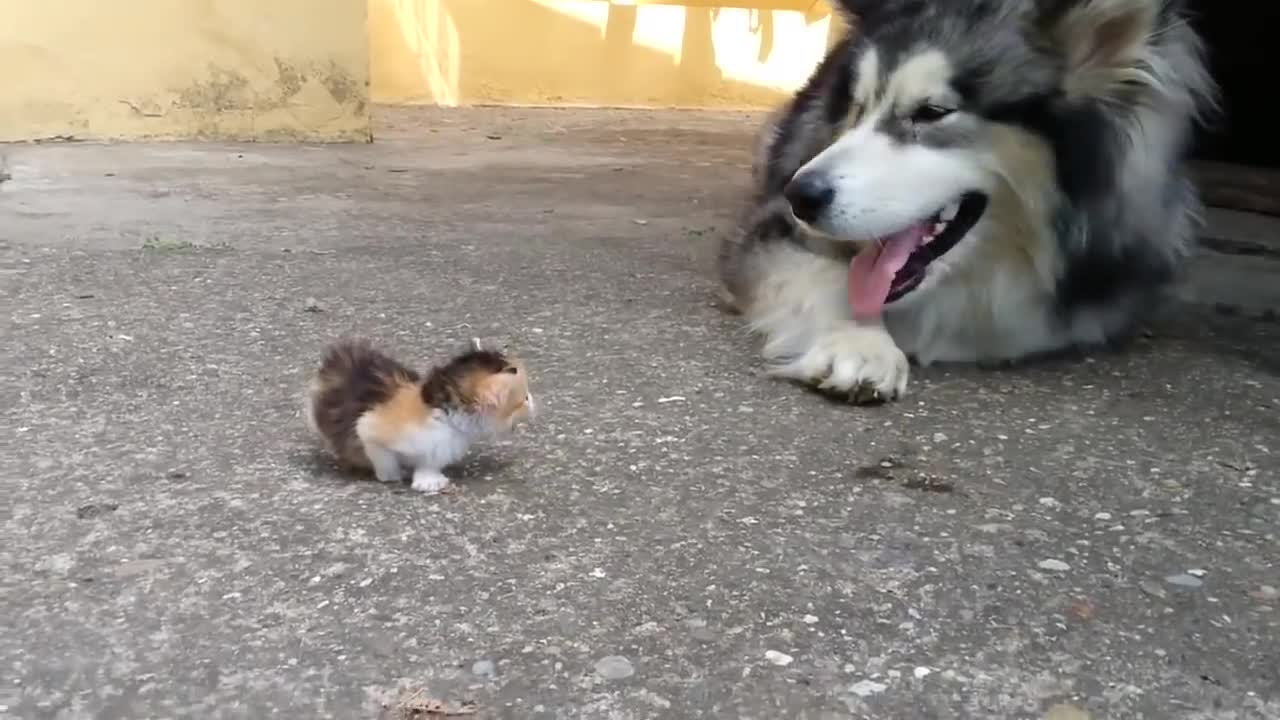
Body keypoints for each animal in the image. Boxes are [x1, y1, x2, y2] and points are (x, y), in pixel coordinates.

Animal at [305, 338, 535, 491]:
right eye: (523, 398)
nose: (532, 400)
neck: (443, 415)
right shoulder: (370, 428)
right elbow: (382, 456)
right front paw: (391, 475)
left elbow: (428, 462)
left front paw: (428, 480)